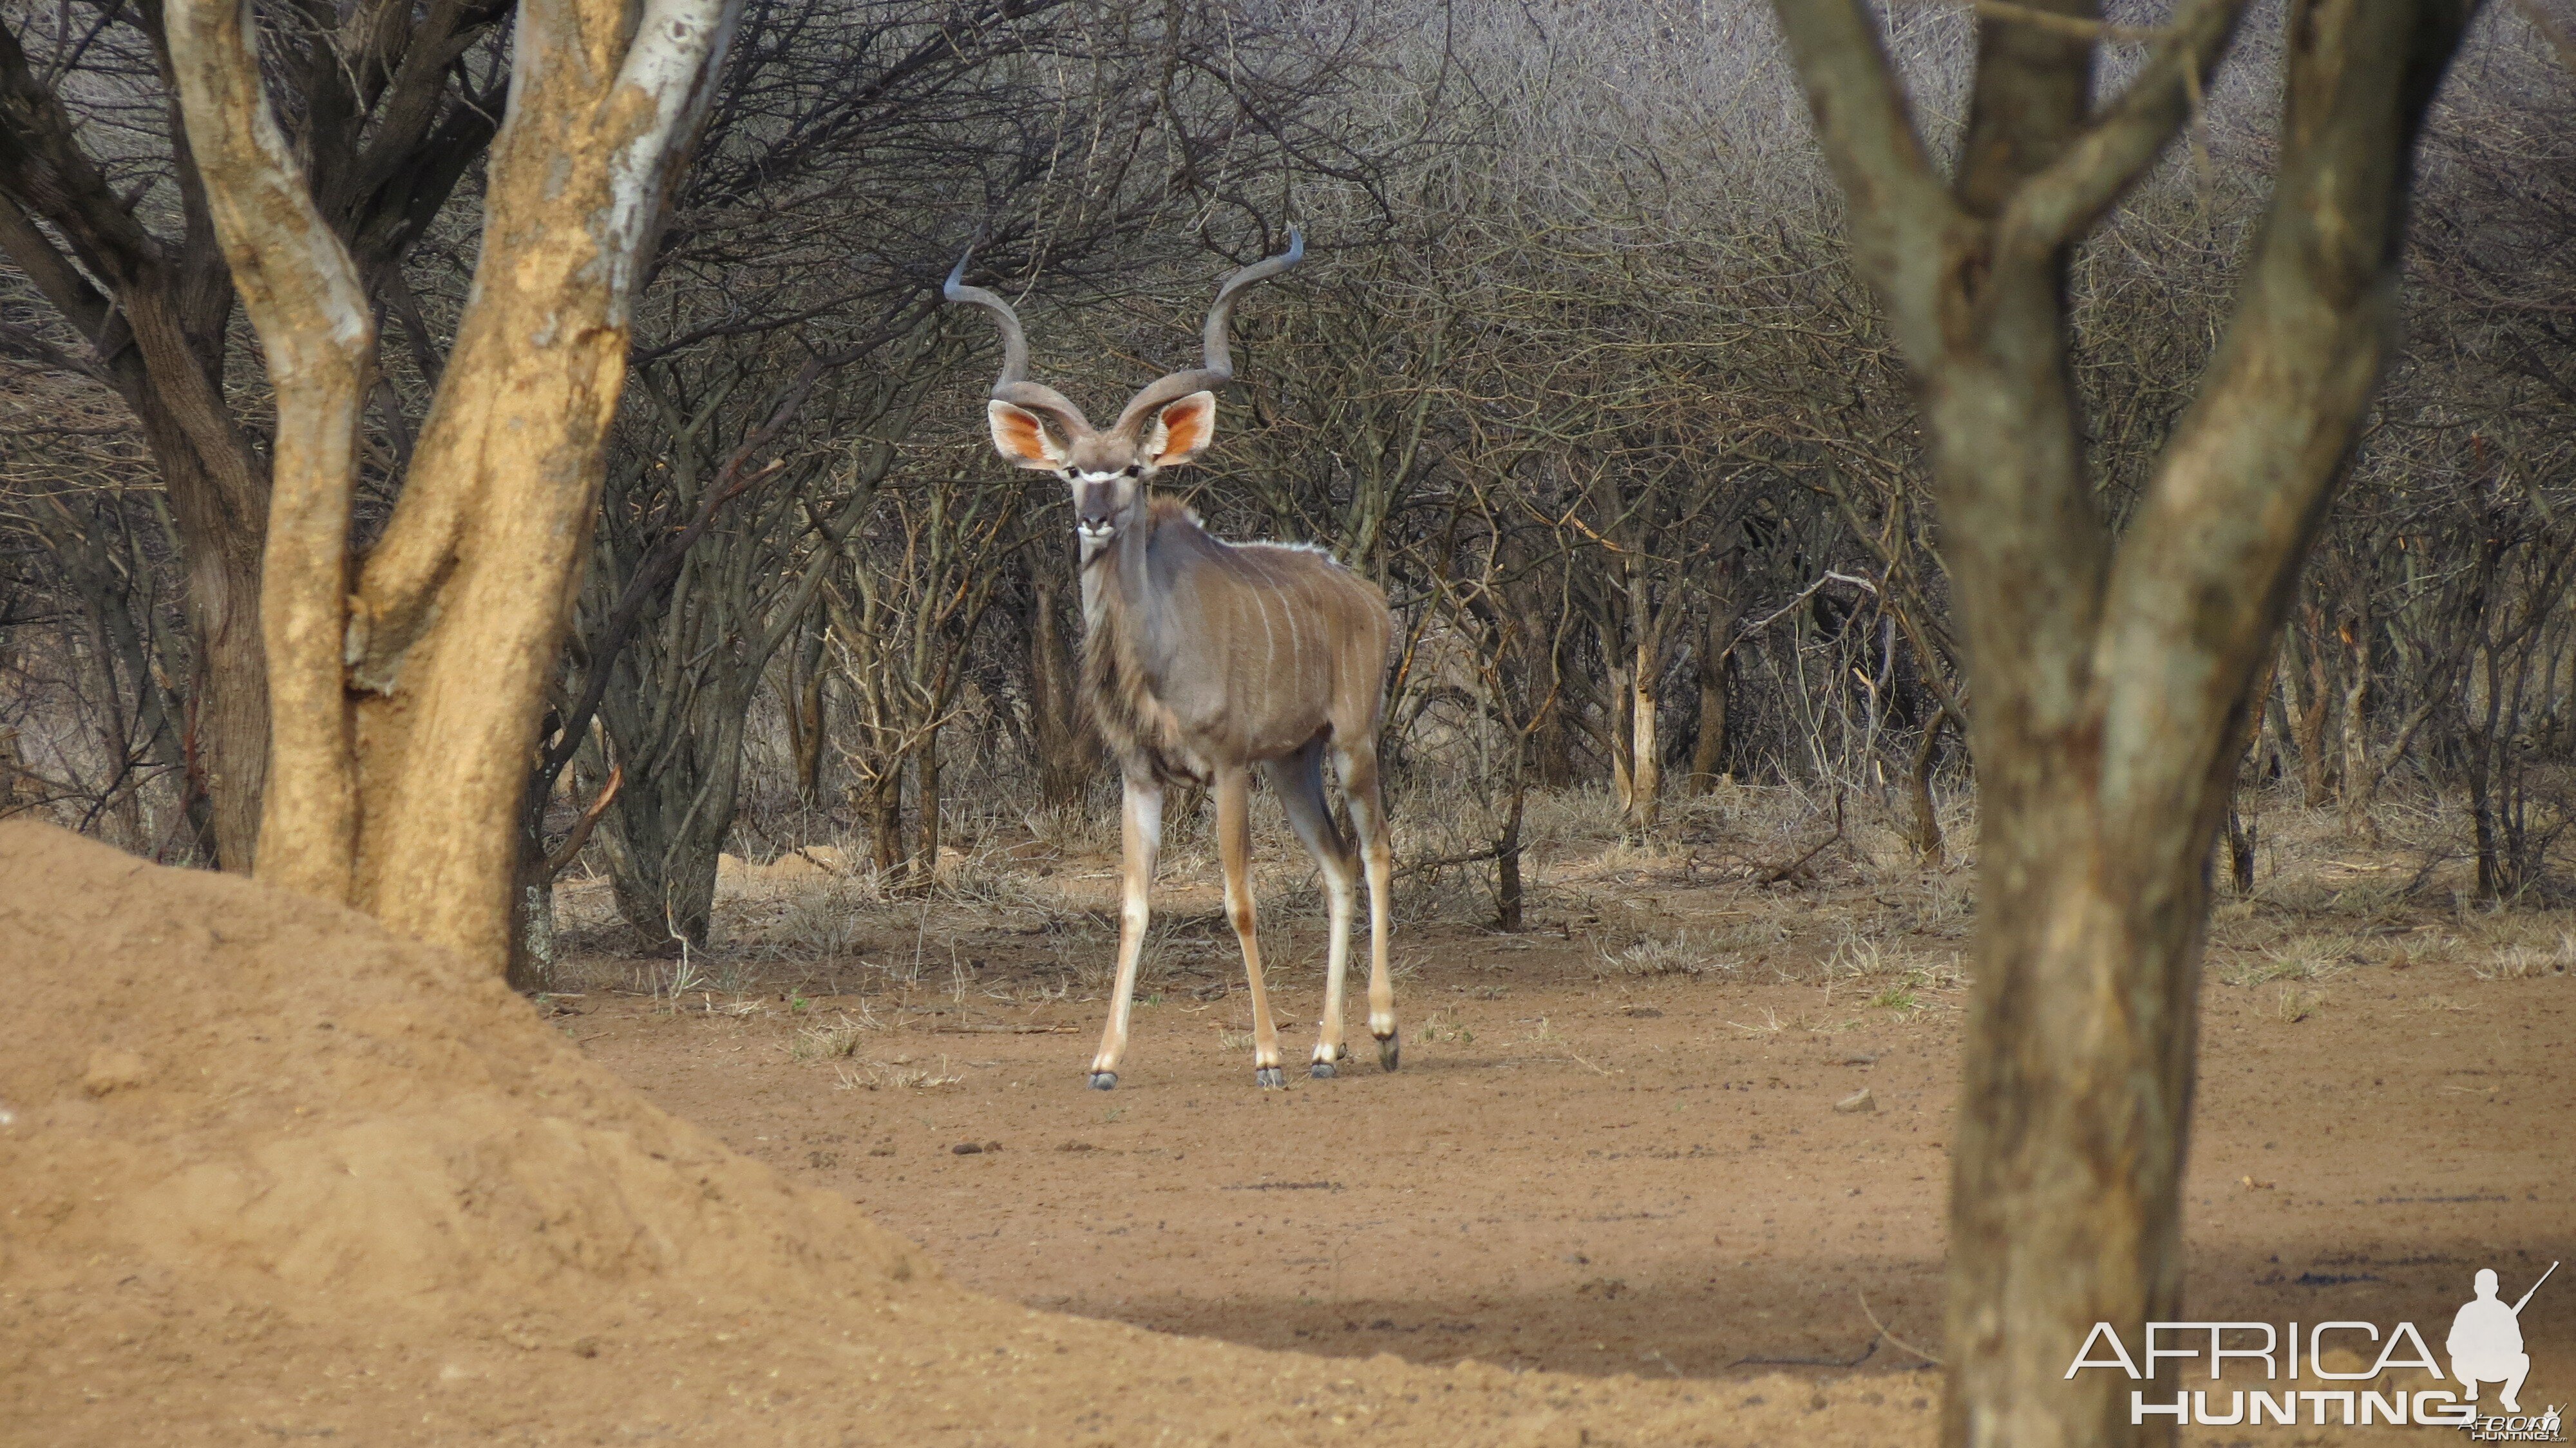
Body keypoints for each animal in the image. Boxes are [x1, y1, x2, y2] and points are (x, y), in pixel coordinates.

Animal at [943, 231, 1391, 1082]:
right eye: (1072, 470)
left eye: (1132, 469)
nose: (1093, 518)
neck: (1153, 659)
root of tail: (1368, 596)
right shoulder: (1141, 779)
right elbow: (1132, 906)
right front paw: (1104, 1061)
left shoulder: (1226, 769)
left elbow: (1239, 901)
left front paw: (1265, 1057)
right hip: (1294, 764)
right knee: (1339, 866)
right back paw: (1327, 1046)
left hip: (1351, 746)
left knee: (1376, 853)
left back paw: (1380, 1032)